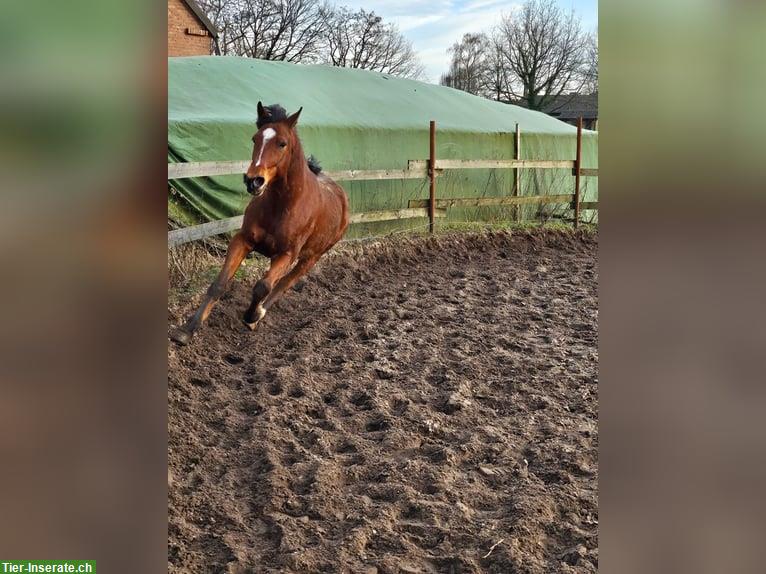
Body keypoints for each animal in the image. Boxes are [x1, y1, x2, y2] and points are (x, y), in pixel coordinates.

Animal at [172, 103, 352, 346]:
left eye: (282, 143)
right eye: (255, 138)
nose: (253, 181)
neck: (282, 206)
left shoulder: (286, 254)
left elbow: (262, 287)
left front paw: (251, 316)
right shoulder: (243, 240)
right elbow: (219, 284)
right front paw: (186, 331)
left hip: (311, 258)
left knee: (284, 284)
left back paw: (259, 314)